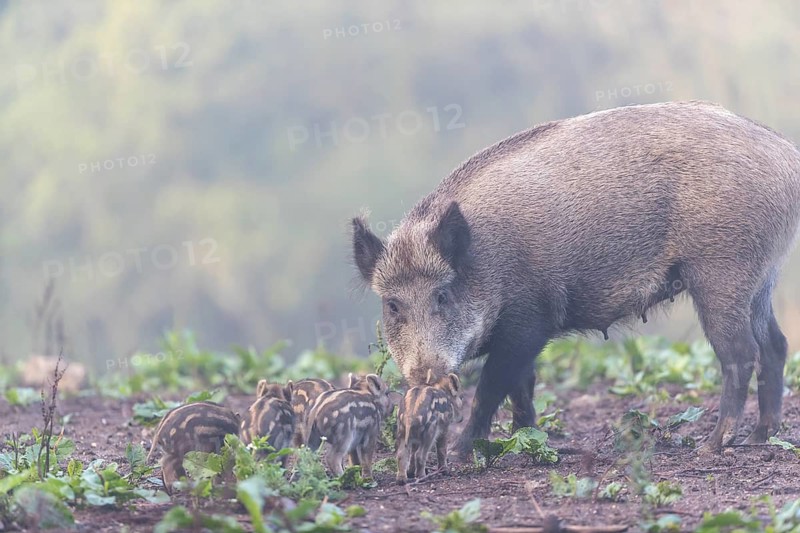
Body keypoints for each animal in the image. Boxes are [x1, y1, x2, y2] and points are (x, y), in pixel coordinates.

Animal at [351, 100, 800, 458]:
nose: (425, 379)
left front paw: (462, 455)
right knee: (775, 345)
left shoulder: (529, 321)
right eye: (392, 305)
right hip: (762, 277)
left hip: (721, 272)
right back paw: (759, 438)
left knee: (741, 353)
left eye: (443, 296)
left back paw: (713, 445)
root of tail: (788, 156)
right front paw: (528, 440)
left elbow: (493, 386)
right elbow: (522, 387)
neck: (485, 265)